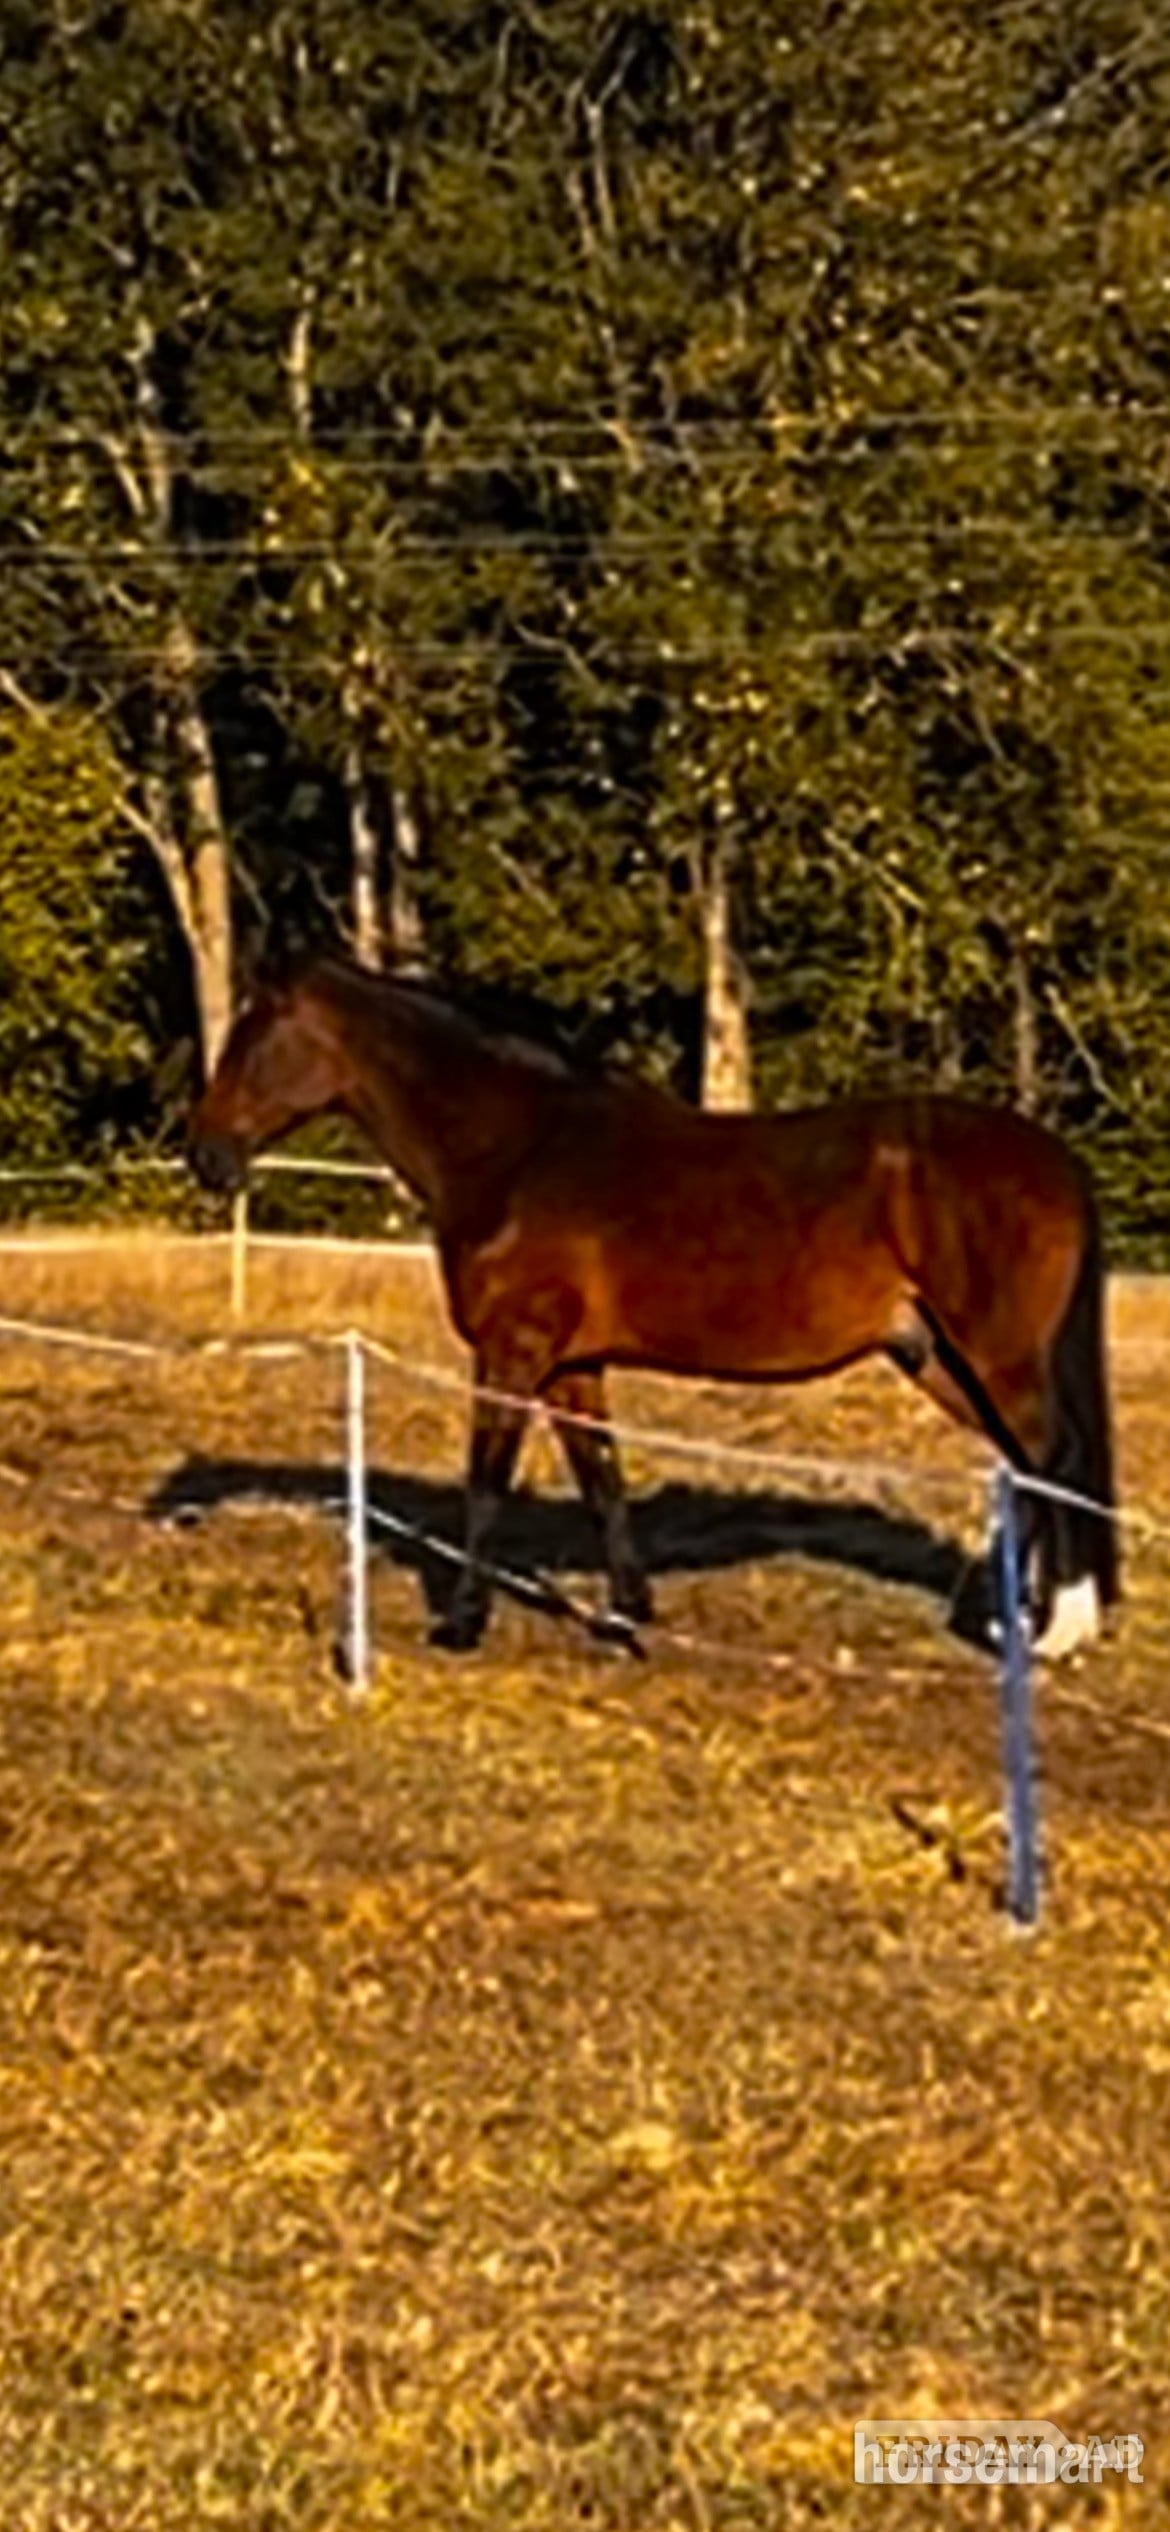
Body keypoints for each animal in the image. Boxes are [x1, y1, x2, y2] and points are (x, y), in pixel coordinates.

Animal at [188, 952, 1118, 1661]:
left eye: (253, 1039)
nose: (206, 1155)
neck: (518, 1148)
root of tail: (1056, 1157)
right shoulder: (571, 1367)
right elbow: (602, 1478)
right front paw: (626, 1615)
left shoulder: (511, 1351)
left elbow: (486, 1482)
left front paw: (460, 1624)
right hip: (942, 1361)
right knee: (1029, 1467)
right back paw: (1019, 1619)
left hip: (994, 1357)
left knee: (1055, 1459)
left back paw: (1056, 1634)